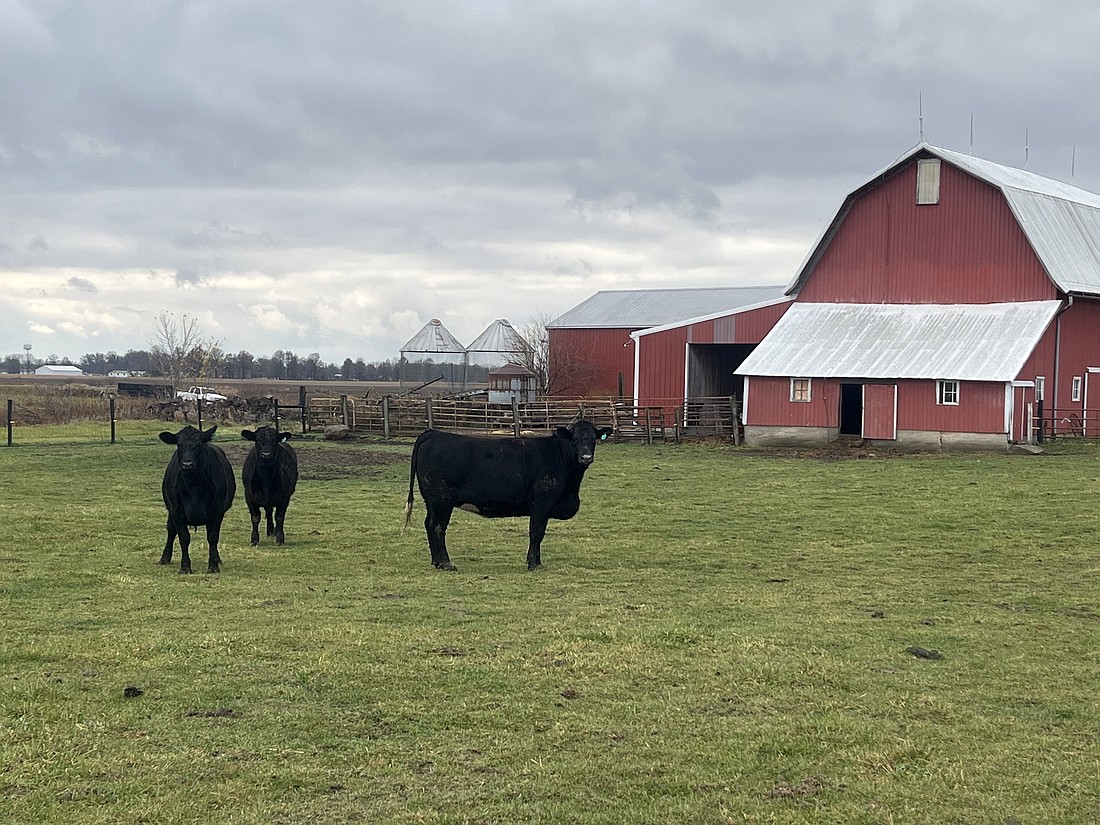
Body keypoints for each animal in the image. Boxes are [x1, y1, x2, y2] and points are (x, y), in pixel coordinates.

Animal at [158, 426, 235, 576]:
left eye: (199, 445)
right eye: (179, 444)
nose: (187, 464)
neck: (193, 486)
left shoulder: (217, 512)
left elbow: (213, 537)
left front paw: (213, 566)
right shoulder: (176, 511)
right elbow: (183, 537)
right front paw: (185, 567)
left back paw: (217, 559)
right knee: (171, 530)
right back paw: (164, 558)